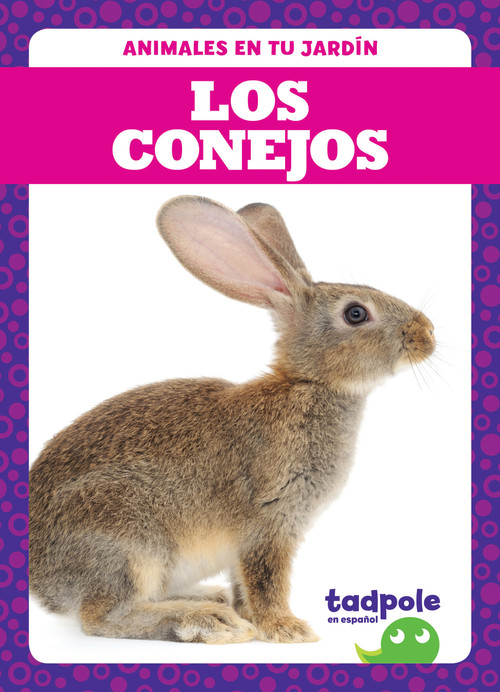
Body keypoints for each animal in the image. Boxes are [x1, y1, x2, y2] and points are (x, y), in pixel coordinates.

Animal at [29, 195, 436, 645]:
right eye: (357, 314)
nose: (427, 334)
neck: (309, 385)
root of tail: (41, 583)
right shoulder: (269, 520)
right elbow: (266, 579)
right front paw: (287, 629)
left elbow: (246, 583)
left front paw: (258, 619)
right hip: (127, 539)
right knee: (102, 617)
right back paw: (205, 620)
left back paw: (210, 600)